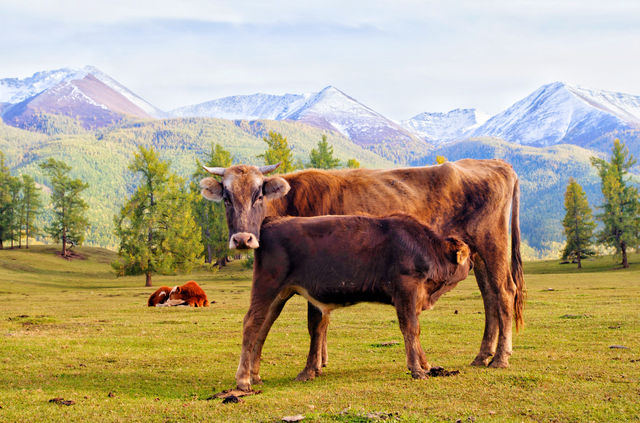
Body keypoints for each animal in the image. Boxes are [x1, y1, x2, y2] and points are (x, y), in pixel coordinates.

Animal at [201, 159, 524, 374]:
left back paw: (500, 358)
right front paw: (321, 361)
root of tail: (495, 164)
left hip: (493, 244)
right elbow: (320, 322)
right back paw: (482, 355)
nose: (243, 239)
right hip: (477, 255)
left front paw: (314, 366)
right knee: (489, 297)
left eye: (259, 195)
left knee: (504, 293)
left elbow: (316, 322)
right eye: (227, 198)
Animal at [234, 214, 470, 392]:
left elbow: (416, 330)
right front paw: (417, 369)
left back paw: (255, 375)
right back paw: (243, 380)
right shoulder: (406, 289)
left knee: (263, 328)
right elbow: (410, 328)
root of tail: (272, 221)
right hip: (267, 286)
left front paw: (426, 364)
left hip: (279, 295)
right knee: (251, 323)